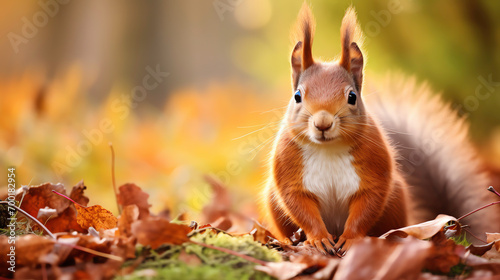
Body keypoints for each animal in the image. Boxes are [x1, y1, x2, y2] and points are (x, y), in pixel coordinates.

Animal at [262, 3, 500, 254]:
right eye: (297, 96)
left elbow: (368, 204)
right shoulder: (289, 167)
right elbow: (299, 205)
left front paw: (351, 238)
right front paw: (318, 239)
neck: (328, 149)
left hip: (395, 198)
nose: (323, 123)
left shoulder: (374, 167)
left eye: (352, 96)